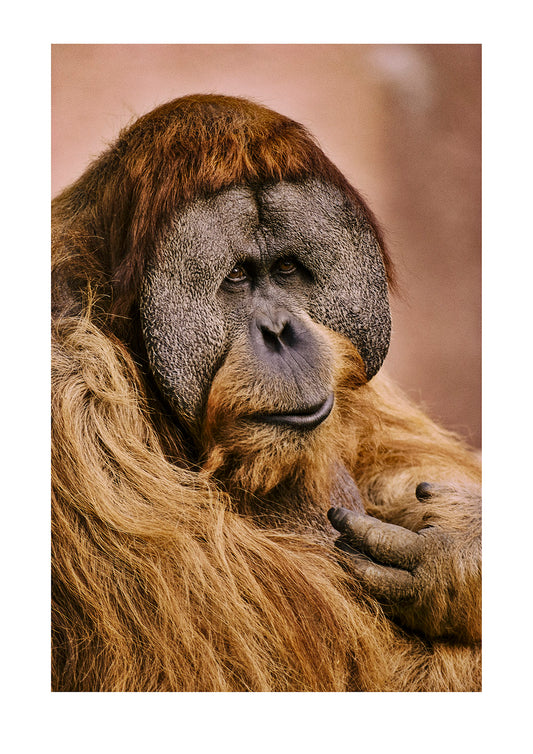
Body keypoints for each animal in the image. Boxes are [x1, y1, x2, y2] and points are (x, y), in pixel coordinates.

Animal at [51, 94, 481, 692]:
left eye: (285, 268)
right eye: (236, 276)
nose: (281, 330)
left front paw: (462, 532)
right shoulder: (72, 395)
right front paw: (460, 562)